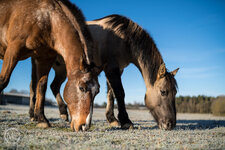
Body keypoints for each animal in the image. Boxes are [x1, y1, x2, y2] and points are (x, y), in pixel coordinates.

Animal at [0, 0, 99, 131]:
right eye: (82, 88)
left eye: (97, 91)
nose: (84, 126)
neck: (46, 18)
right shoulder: (13, 50)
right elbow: (3, 80)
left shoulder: (45, 58)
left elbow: (42, 86)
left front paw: (42, 119)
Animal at [32, 14, 179, 130]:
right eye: (163, 92)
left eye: (175, 92)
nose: (170, 124)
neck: (122, 37)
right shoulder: (111, 68)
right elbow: (119, 92)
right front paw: (126, 121)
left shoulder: (118, 69)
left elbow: (111, 94)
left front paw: (112, 119)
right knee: (39, 86)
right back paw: (39, 118)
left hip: (62, 69)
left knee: (53, 86)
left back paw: (57, 113)